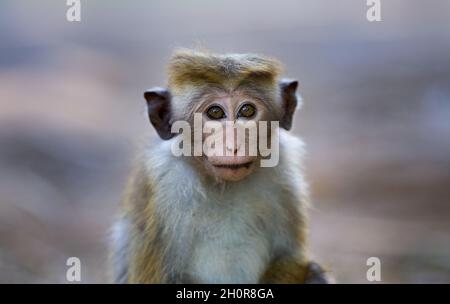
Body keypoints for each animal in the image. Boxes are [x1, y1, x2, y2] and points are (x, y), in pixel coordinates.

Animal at [110, 48, 332, 284]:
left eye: (247, 110)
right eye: (215, 113)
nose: (233, 145)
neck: (223, 185)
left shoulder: (284, 174)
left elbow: (288, 257)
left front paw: (312, 274)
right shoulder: (166, 184)